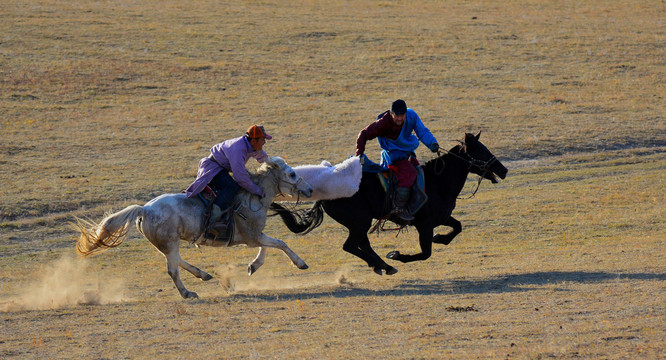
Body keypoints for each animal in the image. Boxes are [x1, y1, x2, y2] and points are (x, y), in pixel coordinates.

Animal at [74, 156, 312, 300]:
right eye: (292, 174)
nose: (309, 189)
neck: (252, 196)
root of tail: (145, 209)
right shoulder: (252, 236)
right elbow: (280, 243)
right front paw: (300, 263)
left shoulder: (255, 236)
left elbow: (269, 247)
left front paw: (253, 266)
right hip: (170, 243)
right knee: (173, 269)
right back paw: (188, 293)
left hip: (168, 244)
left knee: (178, 261)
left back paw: (203, 274)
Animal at [268, 133, 504, 276]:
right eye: (480, 150)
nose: (504, 170)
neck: (438, 182)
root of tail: (324, 195)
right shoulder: (424, 225)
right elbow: (425, 253)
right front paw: (397, 255)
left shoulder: (443, 218)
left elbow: (457, 227)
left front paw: (440, 238)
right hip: (360, 222)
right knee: (351, 245)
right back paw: (386, 264)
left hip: (359, 224)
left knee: (361, 244)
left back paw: (381, 265)